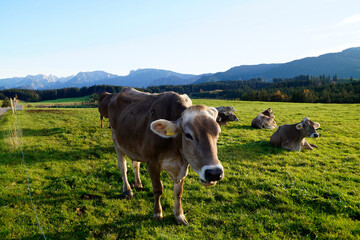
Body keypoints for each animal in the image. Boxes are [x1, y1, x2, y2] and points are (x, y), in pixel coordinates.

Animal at [108, 87, 224, 225]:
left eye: (218, 133)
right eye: (188, 135)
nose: (214, 173)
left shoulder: (183, 165)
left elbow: (178, 192)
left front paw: (179, 215)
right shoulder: (152, 162)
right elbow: (158, 189)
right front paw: (157, 213)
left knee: (135, 164)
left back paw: (138, 183)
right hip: (117, 142)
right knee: (123, 167)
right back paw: (127, 190)